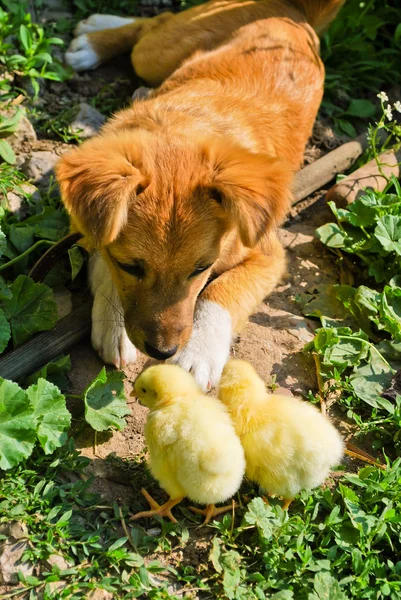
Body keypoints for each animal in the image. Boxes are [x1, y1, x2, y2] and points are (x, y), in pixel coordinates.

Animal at [57, 0, 346, 390]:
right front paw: (112, 324)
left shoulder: (268, 255)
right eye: (131, 266)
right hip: (153, 53)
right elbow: (103, 258)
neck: (181, 128)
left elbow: (219, 292)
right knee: (155, 23)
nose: (163, 351)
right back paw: (94, 39)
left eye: (201, 268)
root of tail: (293, 11)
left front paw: (198, 352)